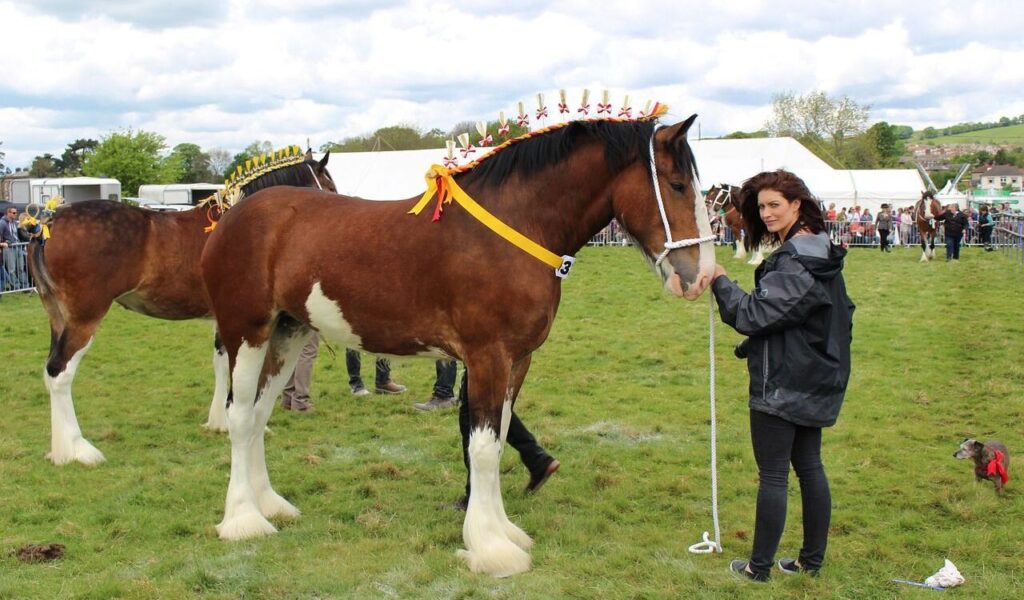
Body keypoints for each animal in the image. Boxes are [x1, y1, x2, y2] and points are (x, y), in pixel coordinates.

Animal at [28, 151, 335, 466]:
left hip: (57, 317)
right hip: (84, 318)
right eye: (327, 184)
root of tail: (49, 222)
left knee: (50, 371)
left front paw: (219, 422)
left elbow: (221, 363)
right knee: (60, 373)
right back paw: (77, 450)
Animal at [200, 113, 715, 577]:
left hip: (288, 332)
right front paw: (491, 549)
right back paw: (244, 520)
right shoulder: (488, 355)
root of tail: (229, 218)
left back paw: (270, 505)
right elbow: (483, 447)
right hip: (247, 331)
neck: (514, 225)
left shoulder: (517, 360)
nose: (702, 277)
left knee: (260, 413)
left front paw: (504, 532)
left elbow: (499, 437)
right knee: (240, 417)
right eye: (675, 184)